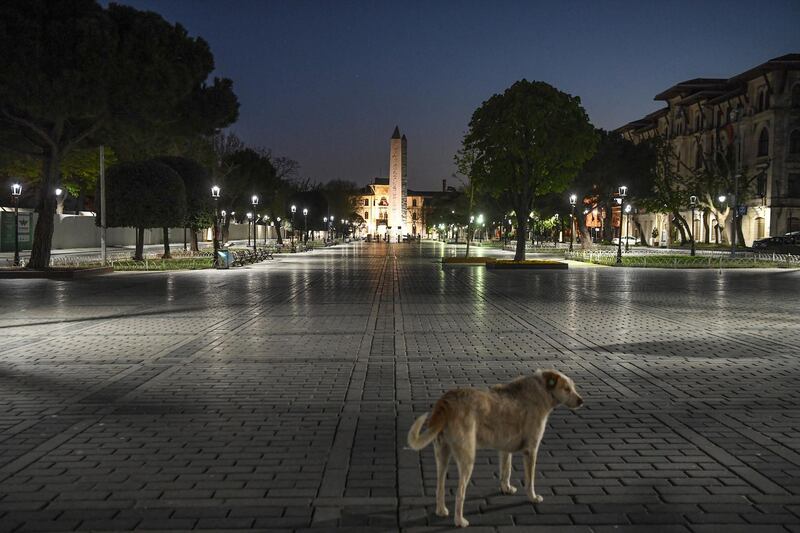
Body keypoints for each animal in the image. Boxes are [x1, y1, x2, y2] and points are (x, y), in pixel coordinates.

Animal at [410, 368, 584, 524]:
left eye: (573, 387)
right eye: (566, 389)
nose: (581, 401)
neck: (541, 389)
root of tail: (446, 401)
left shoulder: (505, 448)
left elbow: (506, 471)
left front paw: (506, 488)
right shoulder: (531, 450)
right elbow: (530, 480)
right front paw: (533, 497)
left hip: (442, 455)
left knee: (439, 486)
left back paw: (441, 510)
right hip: (467, 459)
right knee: (460, 493)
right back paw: (459, 521)